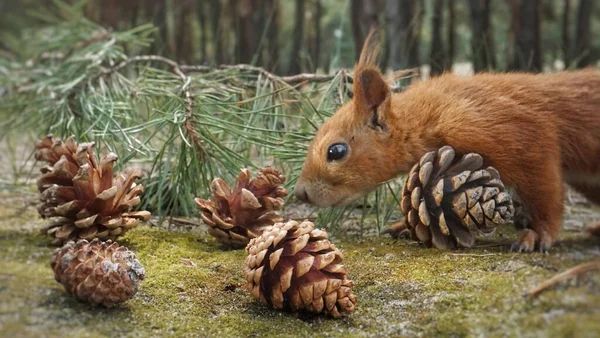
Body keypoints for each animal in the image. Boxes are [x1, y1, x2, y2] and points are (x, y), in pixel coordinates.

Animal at [296, 31, 600, 252]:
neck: (430, 114)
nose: (301, 193)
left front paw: (537, 235)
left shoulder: (523, 136)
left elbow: (546, 192)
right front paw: (404, 225)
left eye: (336, 151)